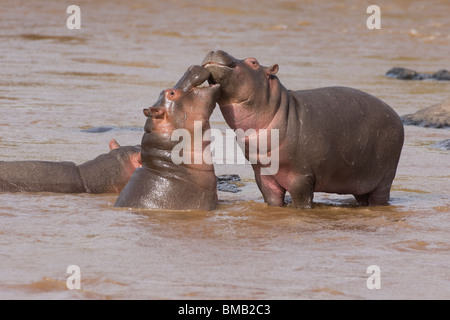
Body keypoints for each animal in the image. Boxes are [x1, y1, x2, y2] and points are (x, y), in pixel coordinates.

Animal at [203, 49, 404, 209]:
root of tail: (396, 116)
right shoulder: (263, 174)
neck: (277, 108)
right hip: (360, 180)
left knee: (380, 198)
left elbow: (302, 201)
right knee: (363, 197)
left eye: (253, 62)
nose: (215, 49)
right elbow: (272, 199)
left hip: (384, 179)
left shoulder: (301, 176)